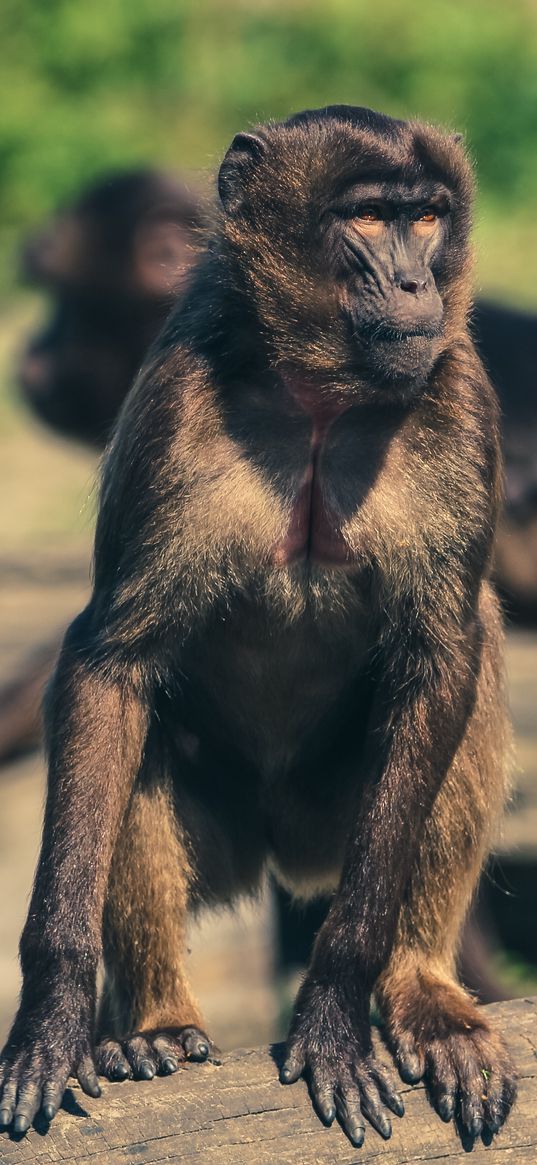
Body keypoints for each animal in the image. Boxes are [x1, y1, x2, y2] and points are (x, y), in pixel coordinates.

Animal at [0, 104, 514, 1141]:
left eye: (427, 216)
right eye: (368, 217)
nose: (415, 283)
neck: (320, 398)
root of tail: (285, 852)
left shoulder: (459, 397)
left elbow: (441, 658)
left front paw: (334, 1005)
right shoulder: (175, 400)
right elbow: (109, 664)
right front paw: (54, 1013)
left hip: (334, 823)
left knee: (470, 657)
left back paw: (420, 988)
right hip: (234, 828)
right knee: (135, 725)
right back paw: (154, 1021)